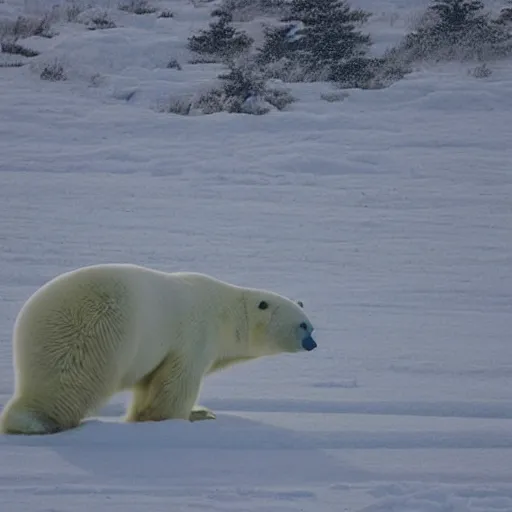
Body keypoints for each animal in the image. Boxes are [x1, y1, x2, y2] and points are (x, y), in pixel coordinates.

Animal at [0, 264, 316, 436]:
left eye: (311, 325)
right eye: (301, 325)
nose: (313, 344)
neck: (225, 313)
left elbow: (149, 382)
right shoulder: (194, 336)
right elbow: (177, 381)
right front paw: (195, 414)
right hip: (101, 333)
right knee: (72, 383)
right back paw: (37, 421)